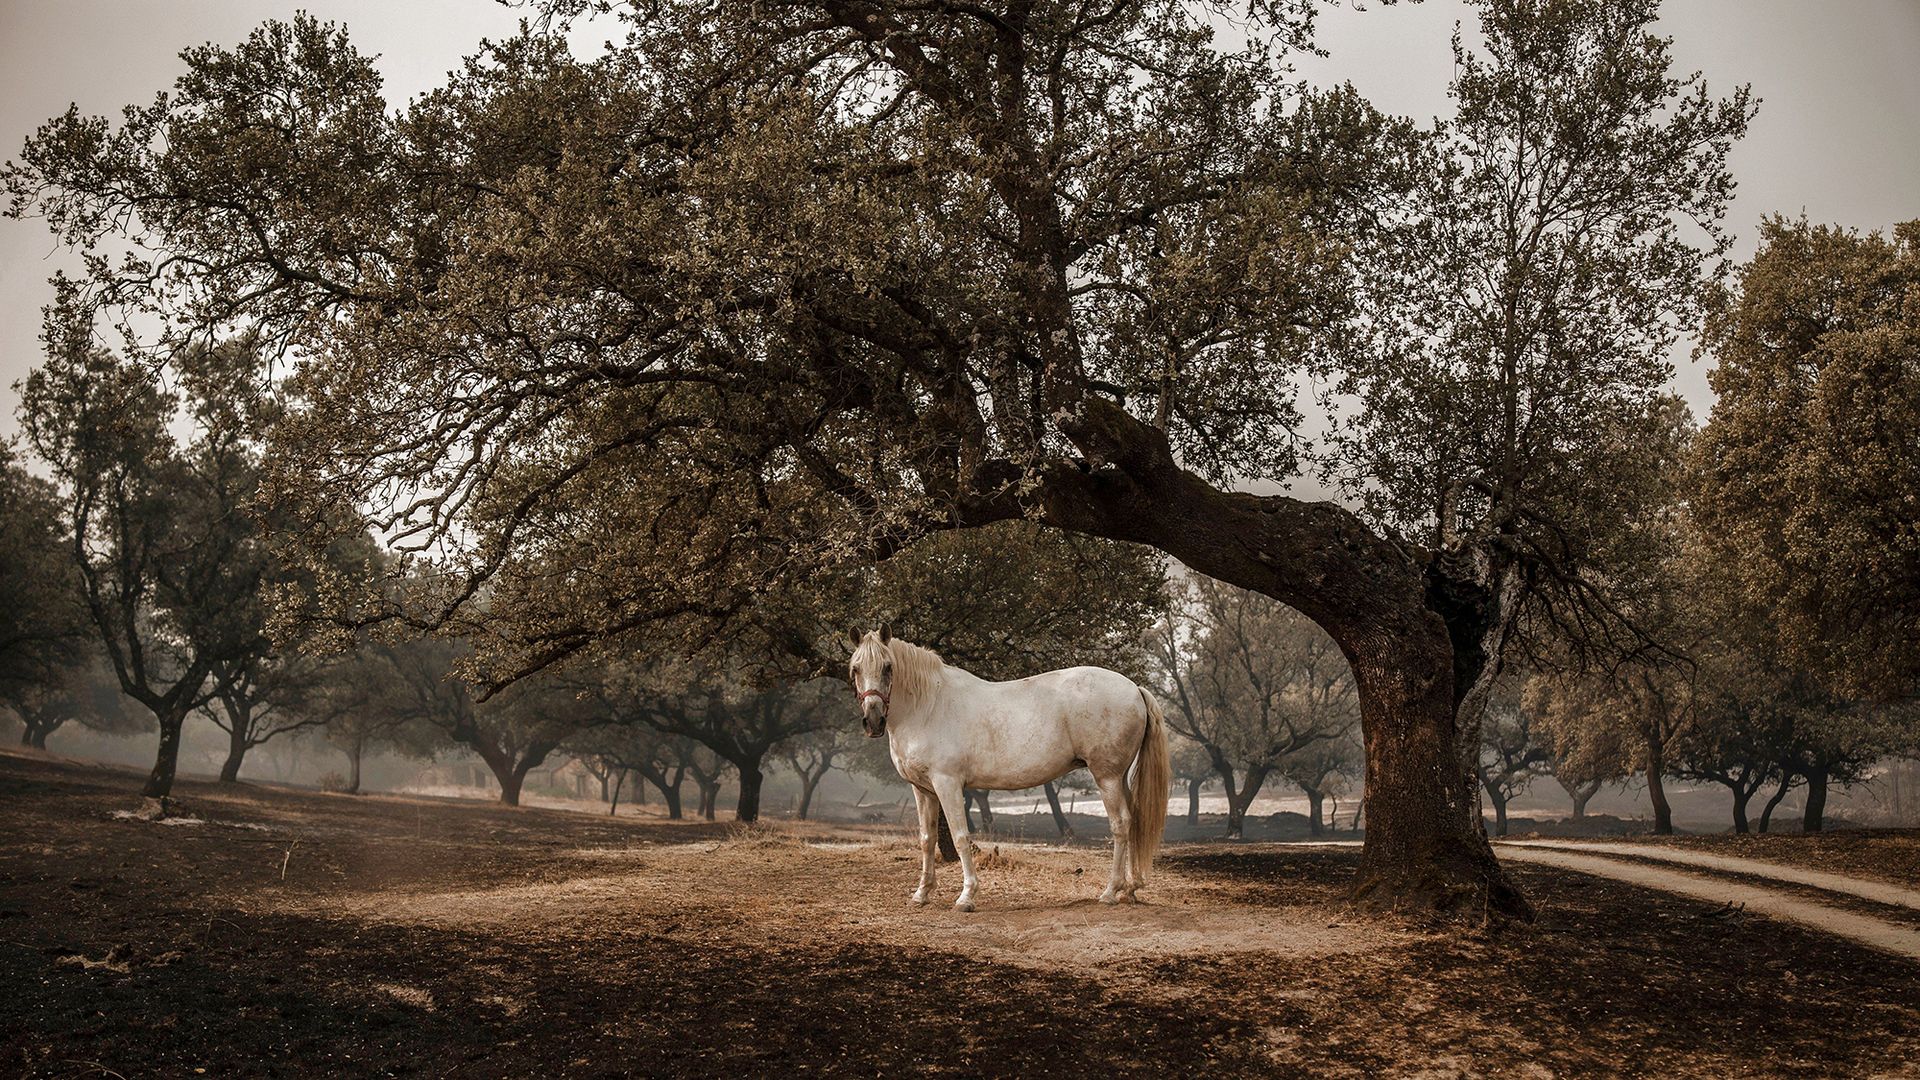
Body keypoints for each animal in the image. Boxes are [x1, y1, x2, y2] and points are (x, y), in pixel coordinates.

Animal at [847, 626, 1170, 912]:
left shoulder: (947, 784)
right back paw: (1129, 889)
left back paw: (1110, 892)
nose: (873, 721)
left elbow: (960, 837)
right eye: (855, 669)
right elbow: (927, 840)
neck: (928, 706)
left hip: (1107, 777)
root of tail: (1134, 688)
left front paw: (967, 897)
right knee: (1132, 822)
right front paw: (922, 894)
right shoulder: (923, 789)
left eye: (888, 667)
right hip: (1119, 778)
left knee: (1121, 825)